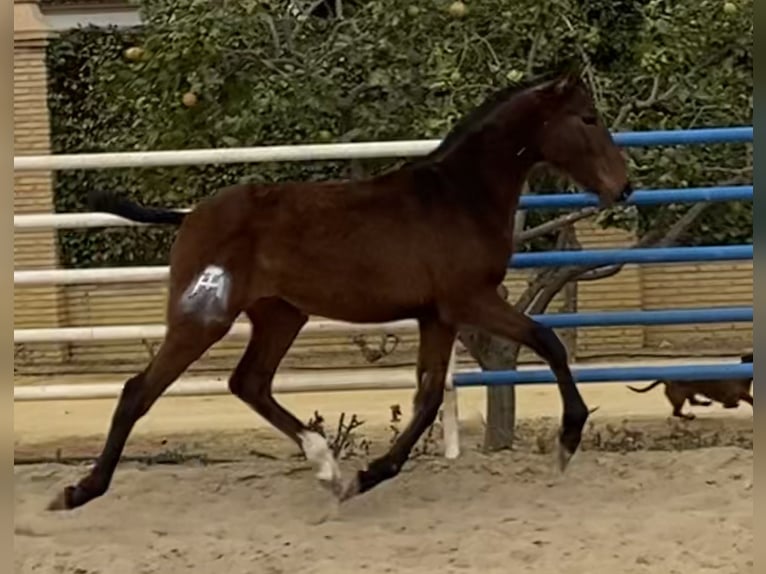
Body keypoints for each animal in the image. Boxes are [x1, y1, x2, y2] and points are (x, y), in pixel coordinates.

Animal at [49, 71, 636, 512]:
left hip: (281, 315)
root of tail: (189, 215)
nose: (623, 187)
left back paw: (327, 465)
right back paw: (79, 491)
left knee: (249, 383)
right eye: (588, 118)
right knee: (139, 390)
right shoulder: (469, 300)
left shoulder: (437, 315)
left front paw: (366, 476)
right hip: (205, 318)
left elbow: (428, 396)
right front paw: (567, 441)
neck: (458, 196)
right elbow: (547, 340)